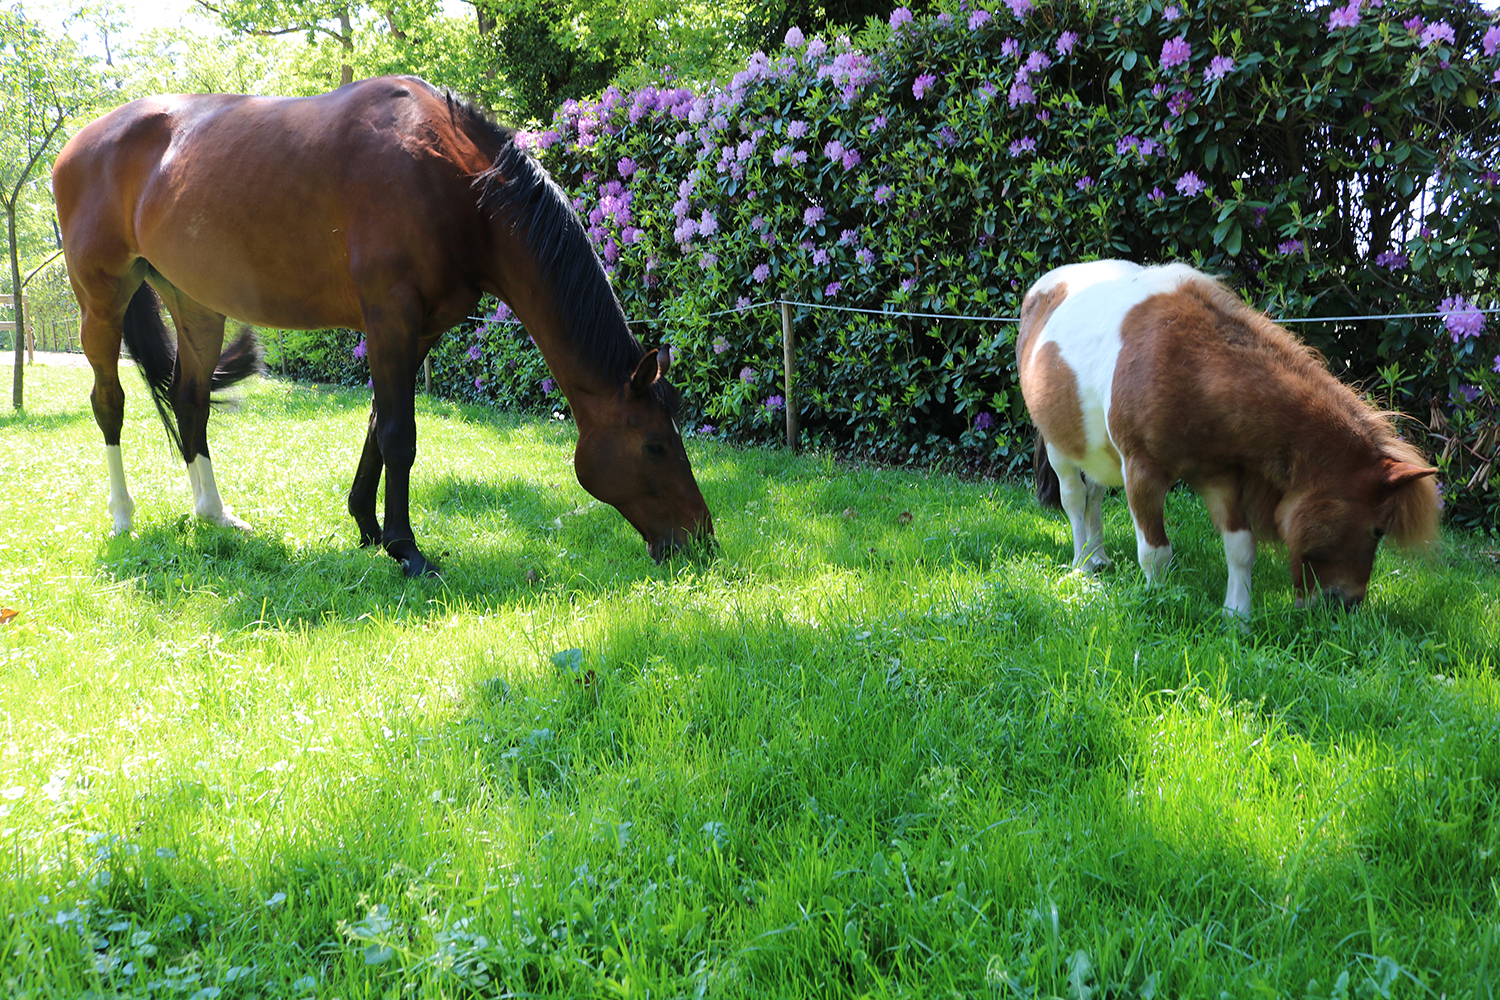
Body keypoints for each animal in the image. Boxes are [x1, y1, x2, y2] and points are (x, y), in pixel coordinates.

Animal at [1020, 257, 1440, 617]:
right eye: (1377, 529)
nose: (1347, 605)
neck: (1189, 364)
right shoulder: (1142, 472)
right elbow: (1155, 552)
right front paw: (1157, 604)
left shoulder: (1218, 475)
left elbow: (1241, 547)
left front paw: (1237, 616)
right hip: (1059, 447)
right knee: (1075, 500)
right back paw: (1082, 565)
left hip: (1097, 452)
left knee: (1093, 496)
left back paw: (1099, 556)